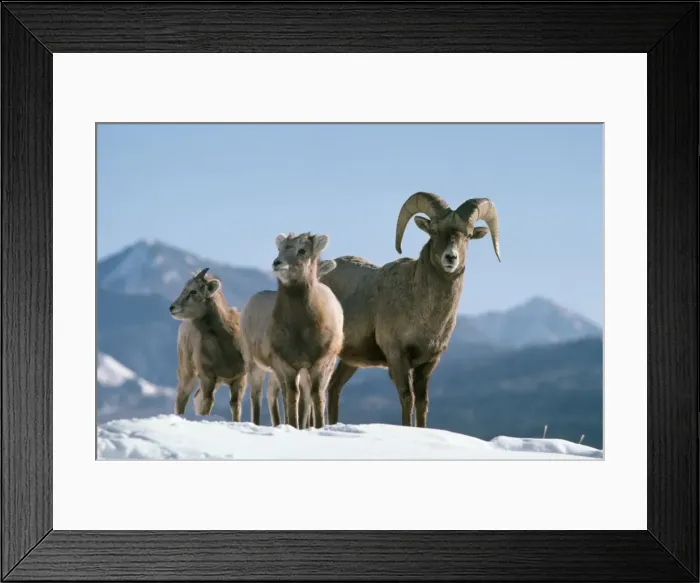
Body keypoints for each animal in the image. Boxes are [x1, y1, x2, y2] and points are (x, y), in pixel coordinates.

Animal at [169, 267, 247, 421]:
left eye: (193, 291)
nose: (172, 308)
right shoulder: (207, 377)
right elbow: (208, 402)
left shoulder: (239, 379)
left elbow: (235, 405)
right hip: (187, 371)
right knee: (182, 397)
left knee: (195, 397)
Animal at [240, 233, 344, 429]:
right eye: (279, 249)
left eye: (302, 250)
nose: (277, 263)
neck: (301, 330)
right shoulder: (286, 364)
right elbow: (292, 395)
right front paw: (294, 426)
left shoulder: (320, 363)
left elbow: (315, 396)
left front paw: (317, 426)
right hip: (254, 364)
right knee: (257, 395)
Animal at [319, 192, 501, 428]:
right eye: (434, 231)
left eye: (468, 235)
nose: (450, 258)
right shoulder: (398, 356)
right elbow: (408, 398)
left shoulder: (429, 362)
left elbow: (423, 402)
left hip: (349, 361)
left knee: (333, 388)